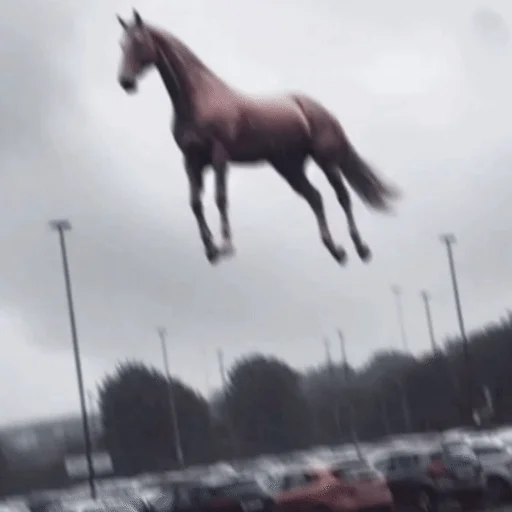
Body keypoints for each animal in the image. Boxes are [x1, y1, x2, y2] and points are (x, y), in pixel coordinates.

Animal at [116, 9, 400, 265]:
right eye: (121, 44)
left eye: (138, 42)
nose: (125, 82)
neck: (199, 98)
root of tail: (320, 109)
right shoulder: (192, 161)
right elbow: (195, 203)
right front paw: (211, 249)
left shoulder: (219, 155)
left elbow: (220, 198)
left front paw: (226, 246)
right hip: (289, 168)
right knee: (315, 198)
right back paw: (336, 250)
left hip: (326, 160)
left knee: (343, 197)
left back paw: (361, 248)